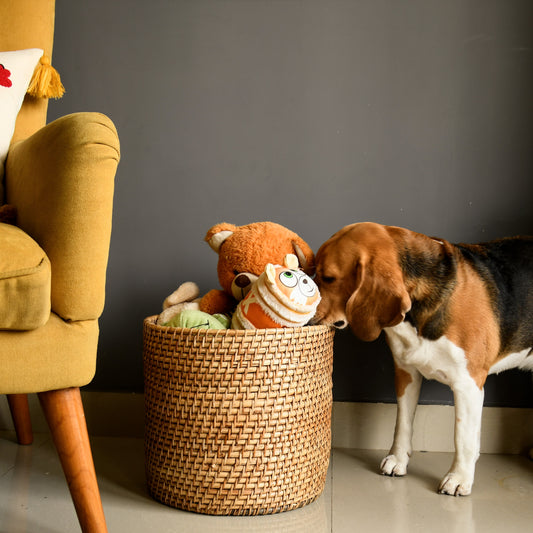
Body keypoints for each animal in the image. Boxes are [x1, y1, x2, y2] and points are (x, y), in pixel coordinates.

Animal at [312, 222, 533, 496]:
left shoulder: (468, 385)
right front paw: (398, 459)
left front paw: (459, 478)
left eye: (329, 278)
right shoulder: (406, 372)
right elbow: (403, 422)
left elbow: (462, 437)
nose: (306, 316)